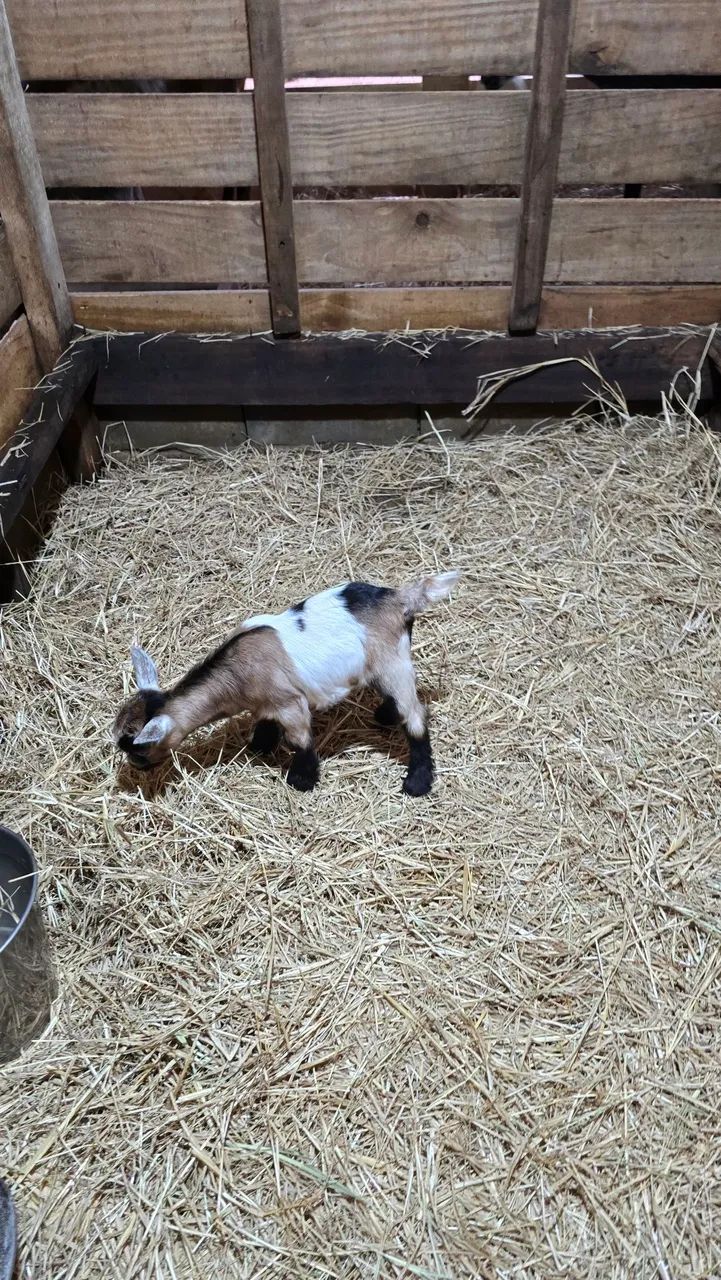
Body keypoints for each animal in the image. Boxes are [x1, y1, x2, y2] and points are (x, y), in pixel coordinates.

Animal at [113, 571, 459, 794]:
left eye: (137, 749)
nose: (135, 768)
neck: (236, 672)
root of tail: (399, 597)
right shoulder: (265, 703)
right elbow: (264, 723)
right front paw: (260, 745)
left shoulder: (290, 704)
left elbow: (301, 741)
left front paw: (301, 781)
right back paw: (385, 715)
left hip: (393, 664)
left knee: (416, 716)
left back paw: (417, 783)